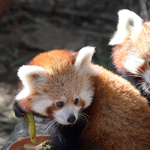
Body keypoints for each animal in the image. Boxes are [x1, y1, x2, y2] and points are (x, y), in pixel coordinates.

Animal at [13, 46, 150, 149]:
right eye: (59, 103)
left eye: (76, 100)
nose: (71, 118)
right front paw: (19, 107)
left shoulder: (79, 124)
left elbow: (64, 144)